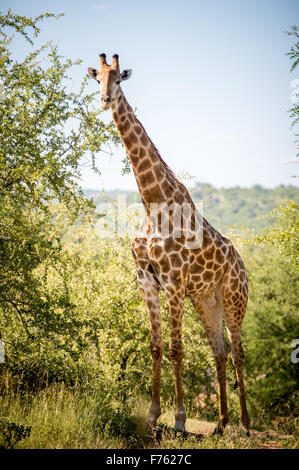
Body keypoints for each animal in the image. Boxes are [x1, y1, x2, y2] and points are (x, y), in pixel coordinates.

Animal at [88, 53, 251, 436]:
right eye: (97, 78)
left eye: (119, 79)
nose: (104, 100)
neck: (153, 203)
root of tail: (243, 268)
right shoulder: (146, 280)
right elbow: (156, 346)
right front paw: (152, 416)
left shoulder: (174, 282)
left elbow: (177, 349)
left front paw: (177, 420)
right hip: (207, 300)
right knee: (219, 350)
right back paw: (221, 423)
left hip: (234, 299)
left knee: (238, 351)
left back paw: (245, 424)